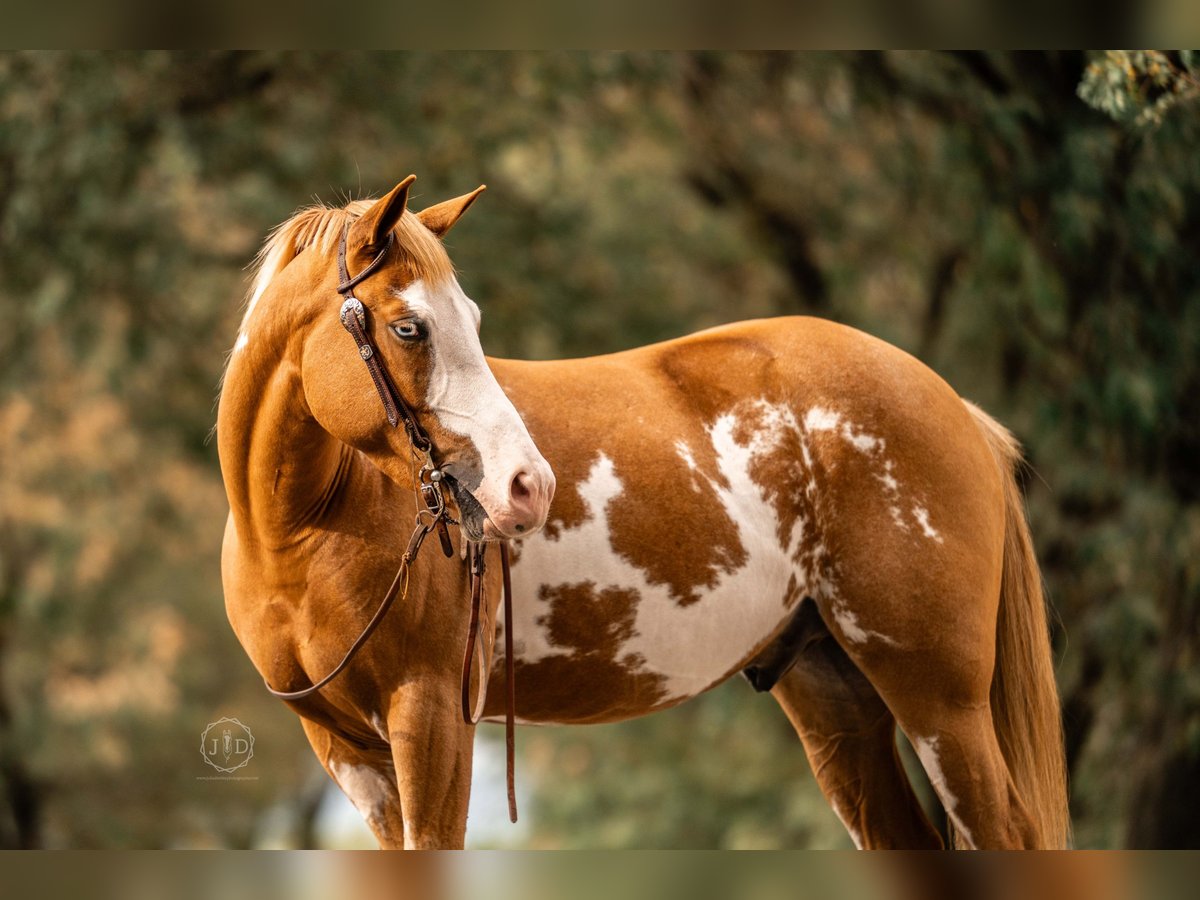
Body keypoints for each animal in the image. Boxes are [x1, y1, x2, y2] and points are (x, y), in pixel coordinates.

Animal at [218, 176, 1070, 849]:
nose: (529, 485)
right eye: (408, 326)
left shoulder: (431, 718)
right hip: (837, 698)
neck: (305, 532)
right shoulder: (349, 751)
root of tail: (953, 405)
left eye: (474, 320)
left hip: (941, 700)